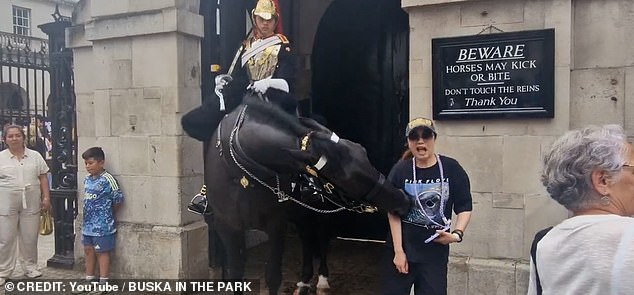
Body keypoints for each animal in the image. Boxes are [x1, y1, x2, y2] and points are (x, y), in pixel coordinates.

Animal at [204, 96, 410, 294]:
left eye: (363, 152)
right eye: (343, 176)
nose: (402, 200)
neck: (242, 174)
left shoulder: (276, 225)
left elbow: (273, 276)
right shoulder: (227, 226)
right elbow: (235, 275)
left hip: (320, 213)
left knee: (321, 239)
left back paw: (321, 279)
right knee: (307, 239)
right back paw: (304, 280)